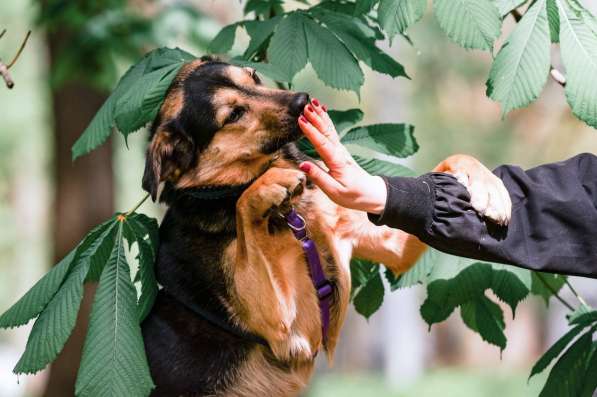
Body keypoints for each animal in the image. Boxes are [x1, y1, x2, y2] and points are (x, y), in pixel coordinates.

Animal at [140, 56, 508, 396]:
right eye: (233, 115)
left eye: (253, 76)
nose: (302, 100)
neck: (291, 214)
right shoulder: (284, 326)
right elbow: (247, 204)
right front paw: (266, 185)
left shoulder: (390, 245)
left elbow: (449, 164)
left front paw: (492, 190)